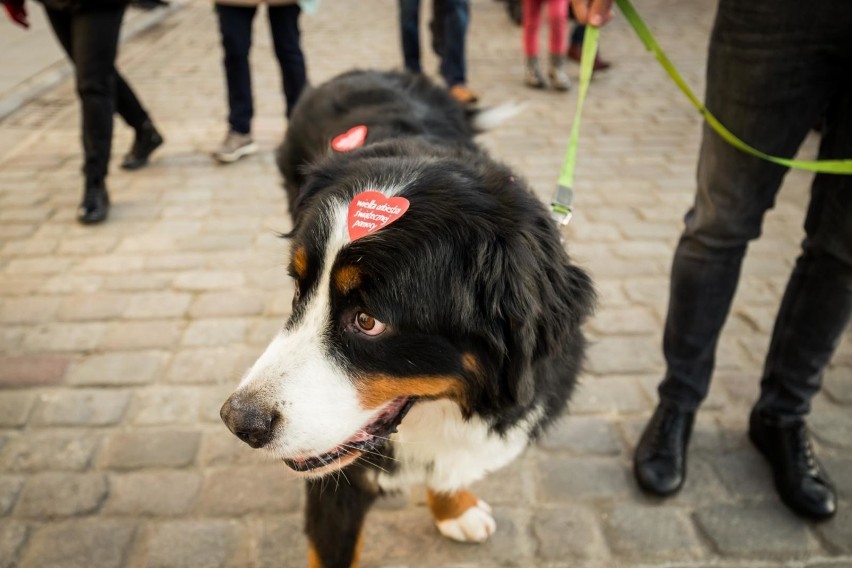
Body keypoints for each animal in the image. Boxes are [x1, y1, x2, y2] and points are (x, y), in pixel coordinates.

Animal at [218, 70, 592, 568]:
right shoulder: (338, 487)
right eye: (299, 289)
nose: (239, 421)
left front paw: (453, 506)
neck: (441, 406)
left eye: (368, 321)